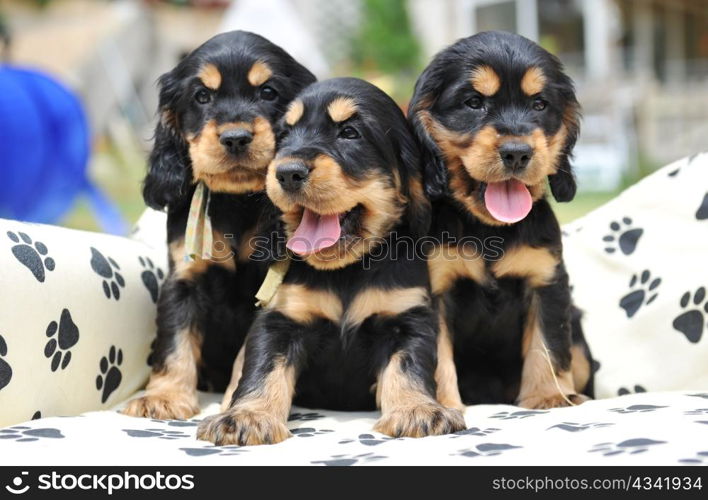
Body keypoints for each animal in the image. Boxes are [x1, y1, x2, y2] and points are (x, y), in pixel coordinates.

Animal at [122, 31, 316, 420]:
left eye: (268, 92)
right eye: (202, 96)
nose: (236, 137)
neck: (235, 202)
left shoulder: (269, 287)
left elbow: (250, 351)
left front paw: (237, 402)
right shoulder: (183, 279)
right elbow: (174, 341)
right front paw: (164, 397)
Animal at [196, 78, 468, 446]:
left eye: (350, 133)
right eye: (284, 136)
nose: (286, 173)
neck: (345, 271)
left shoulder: (406, 318)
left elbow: (407, 367)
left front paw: (417, 410)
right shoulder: (280, 320)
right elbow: (262, 369)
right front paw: (247, 416)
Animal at [406, 31, 596, 410]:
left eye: (539, 105)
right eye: (473, 102)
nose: (517, 153)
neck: (487, 229)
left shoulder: (546, 282)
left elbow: (548, 345)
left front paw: (549, 396)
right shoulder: (436, 288)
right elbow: (438, 357)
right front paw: (445, 405)